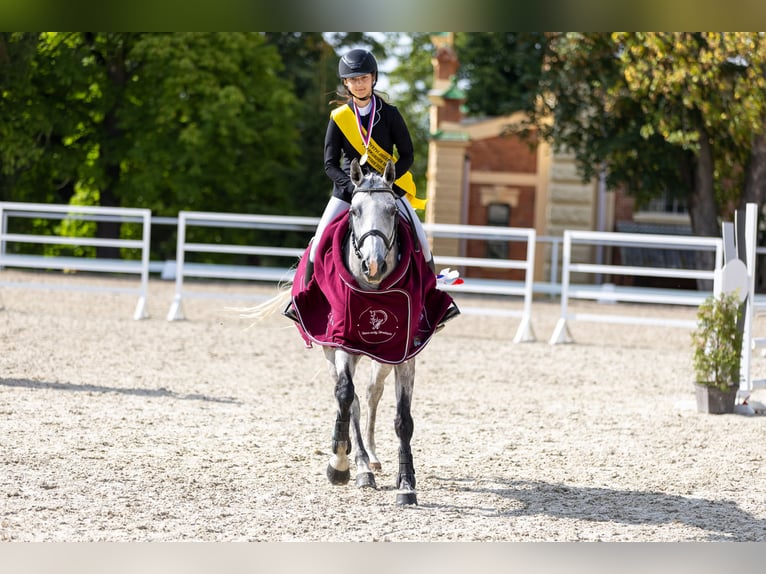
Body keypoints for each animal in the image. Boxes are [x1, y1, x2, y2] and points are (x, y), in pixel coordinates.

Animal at [241, 158, 454, 505]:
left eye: (392, 211)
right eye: (354, 210)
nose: (373, 264)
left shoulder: (405, 353)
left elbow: (403, 419)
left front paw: (407, 484)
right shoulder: (342, 343)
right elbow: (344, 396)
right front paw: (339, 465)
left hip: (382, 359)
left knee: (371, 394)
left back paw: (372, 458)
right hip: (335, 351)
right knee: (351, 399)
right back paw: (361, 467)